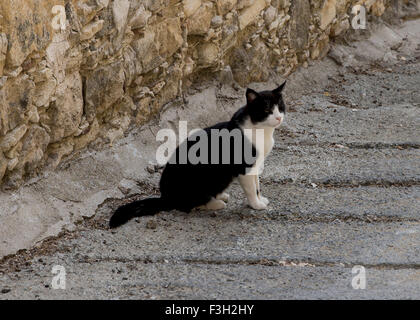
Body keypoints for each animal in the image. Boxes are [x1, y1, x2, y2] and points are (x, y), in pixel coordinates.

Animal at [108, 82, 288, 228]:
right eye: (267, 110)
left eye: (280, 107)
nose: (278, 117)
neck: (261, 131)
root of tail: (165, 196)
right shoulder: (245, 167)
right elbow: (251, 188)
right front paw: (256, 205)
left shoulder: (256, 165)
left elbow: (257, 185)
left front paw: (260, 199)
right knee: (185, 205)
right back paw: (215, 203)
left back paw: (220, 196)